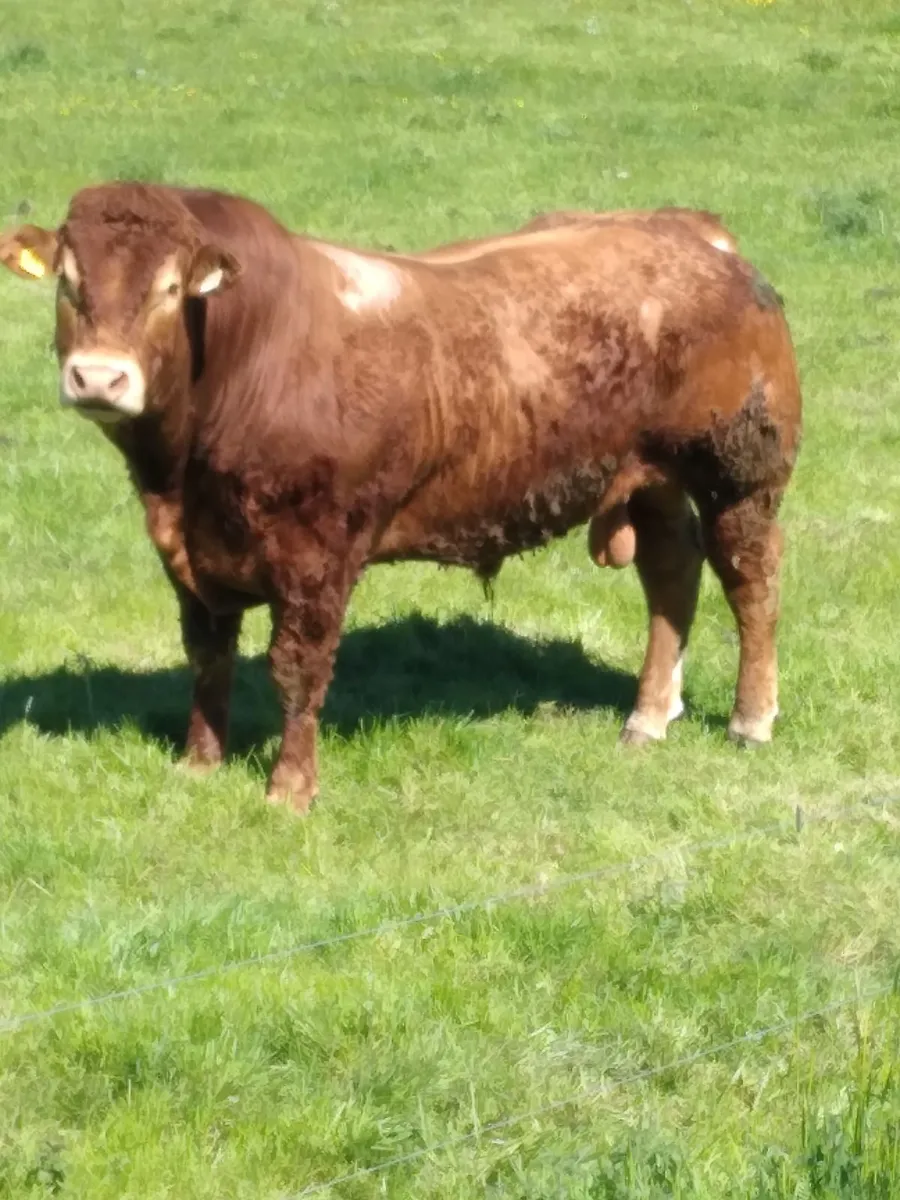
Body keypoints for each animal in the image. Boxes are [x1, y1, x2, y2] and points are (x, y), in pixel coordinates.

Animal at [0, 184, 801, 812]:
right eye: (67, 282)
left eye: (169, 290)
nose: (98, 377)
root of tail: (689, 229)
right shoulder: (190, 552)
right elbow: (208, 656)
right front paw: (199, 764)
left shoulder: (317, 554)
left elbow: (298, 670)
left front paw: (289, 790)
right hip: (651, 477)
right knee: (672, 574)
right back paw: (648, 716)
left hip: (738, 471)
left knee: (749, 579)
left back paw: (750, 720)